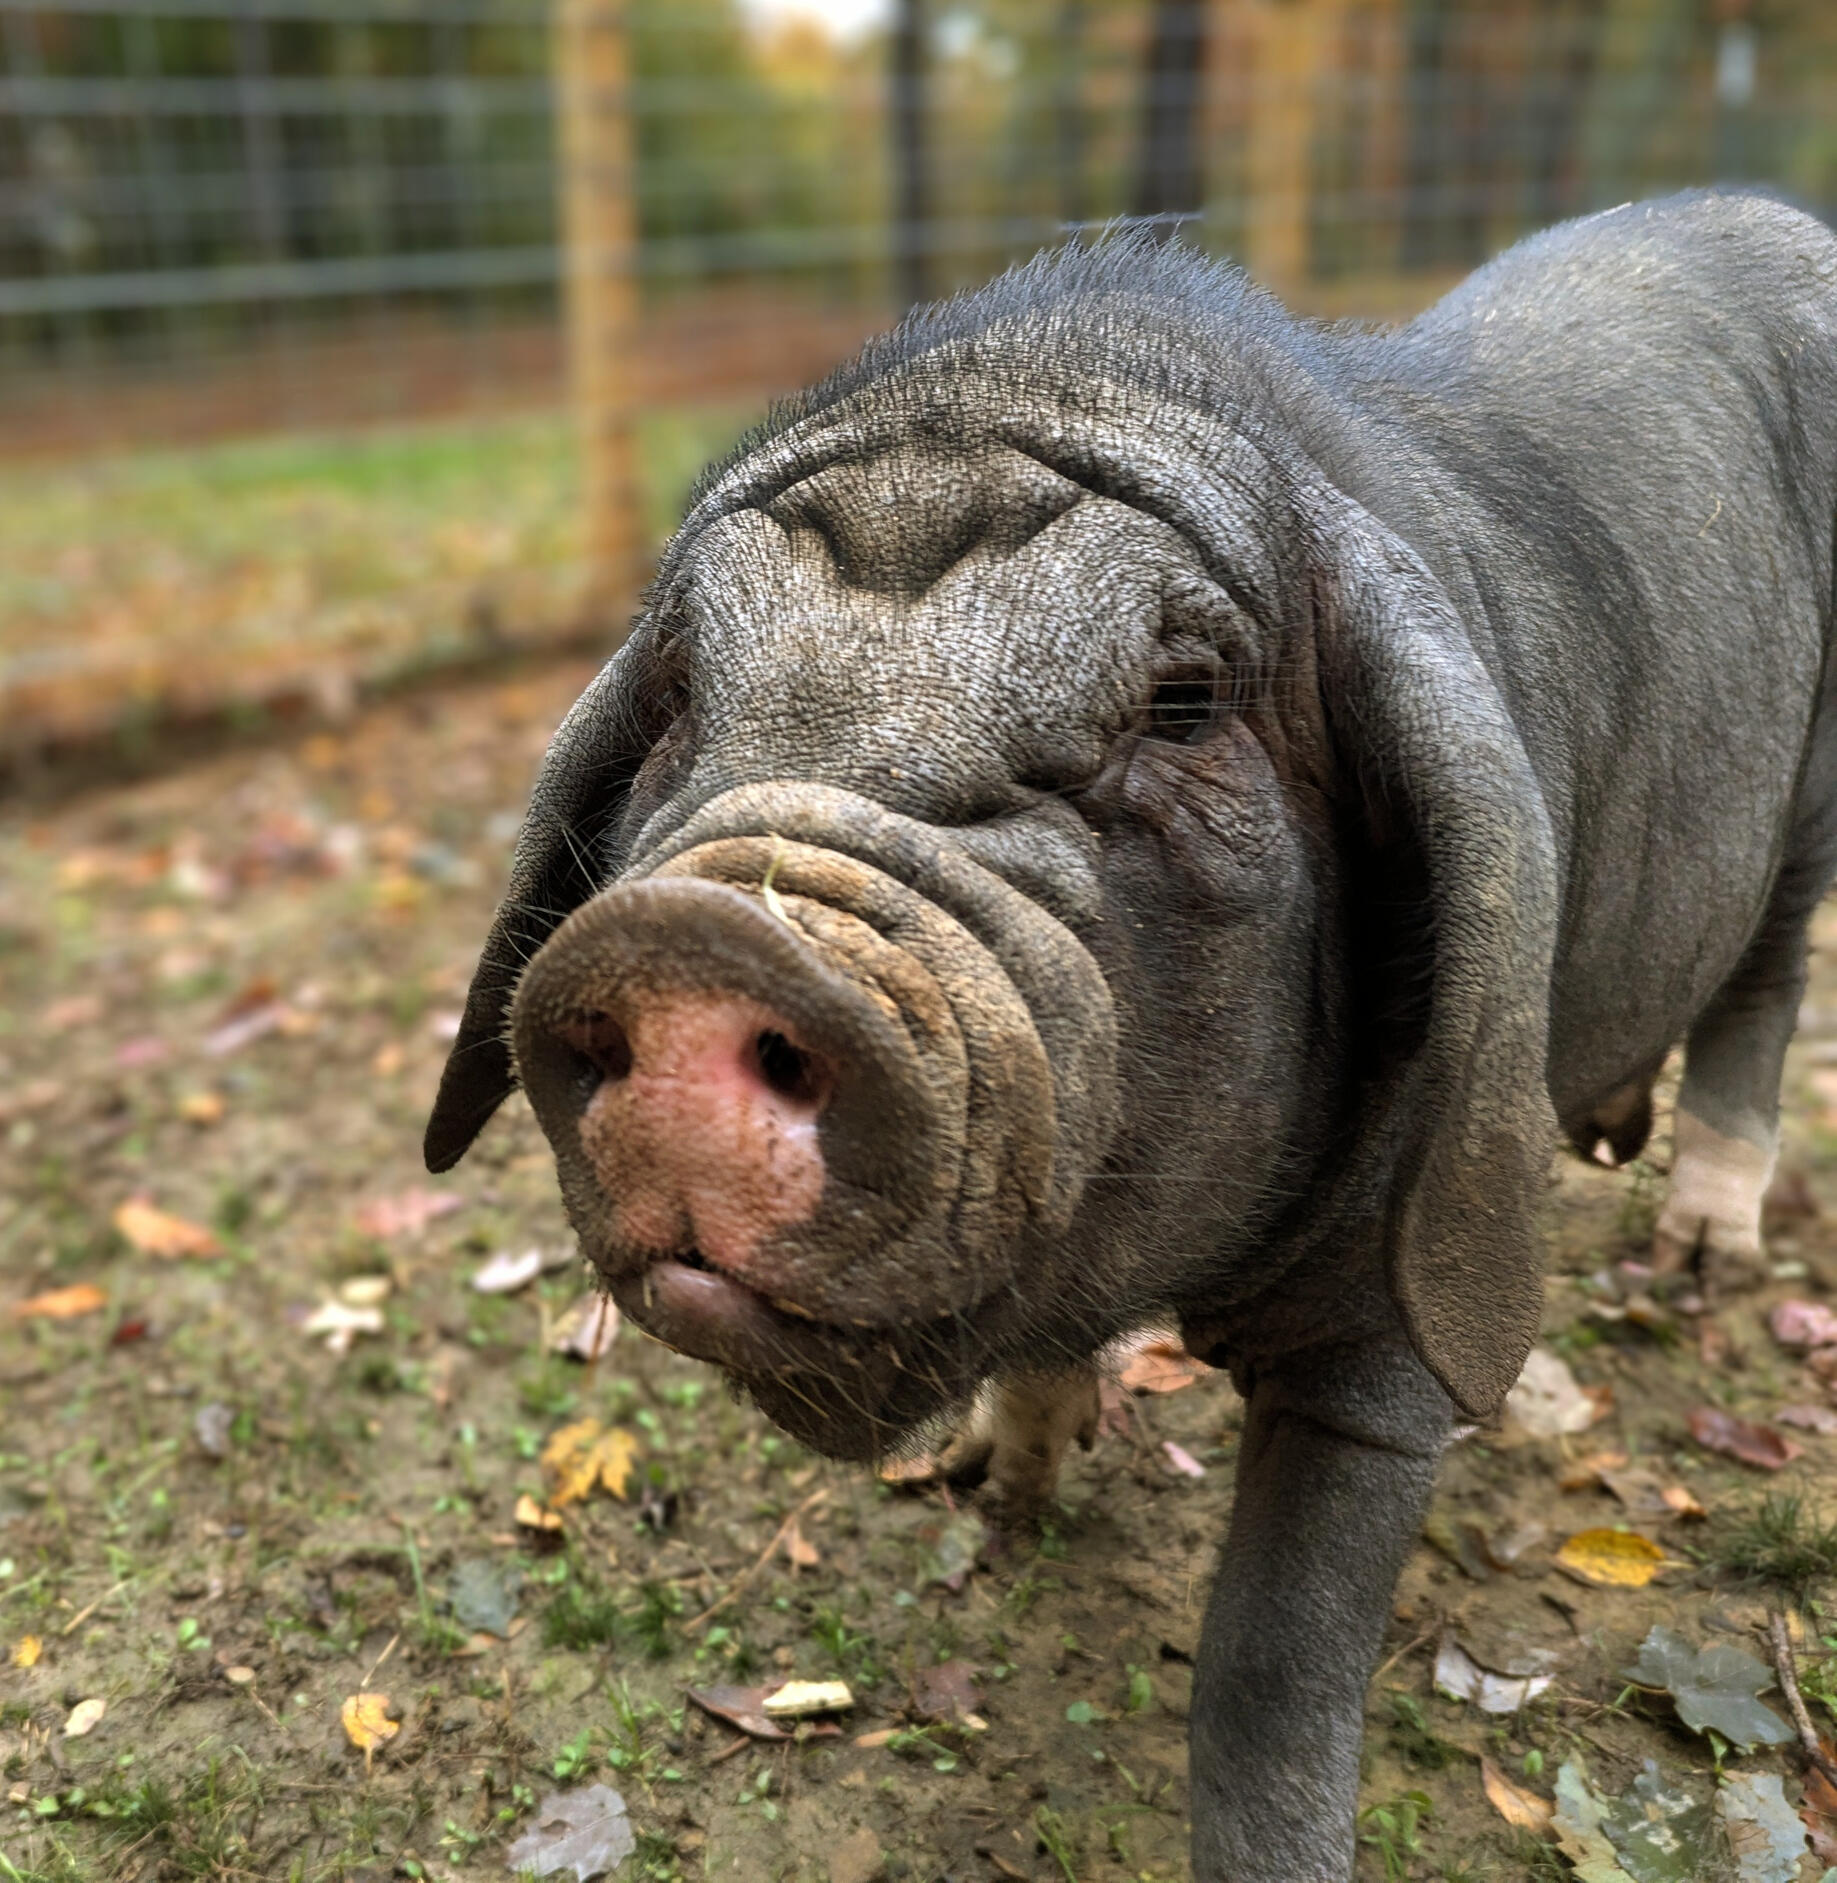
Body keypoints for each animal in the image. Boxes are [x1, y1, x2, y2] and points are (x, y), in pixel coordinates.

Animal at [426, 190, 1837, 1879]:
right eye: (687, 685)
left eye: (1182, 700)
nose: (704, 936)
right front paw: (991, 1501)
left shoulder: (1394, 1328)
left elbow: (1268, 1671)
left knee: (1768, 972)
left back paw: (1700, 1256)